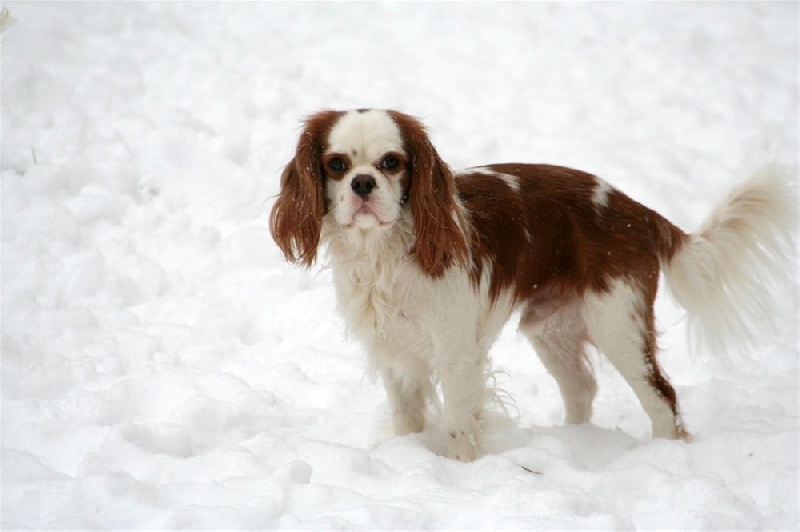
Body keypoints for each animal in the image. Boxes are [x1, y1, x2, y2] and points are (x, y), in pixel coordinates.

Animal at [270, 108, 792, 462]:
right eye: (337, 164)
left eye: (392, 162)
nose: (362, 184)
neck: (385, 252)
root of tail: (639, 210)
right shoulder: (394, 355)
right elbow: (407, 422)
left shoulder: (456, 354)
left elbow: (459, 424)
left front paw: (458, 472)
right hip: (552, 329)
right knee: (581, 387)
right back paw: (573, 443)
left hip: (618, 325)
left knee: (662, 397)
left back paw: (665, 457)